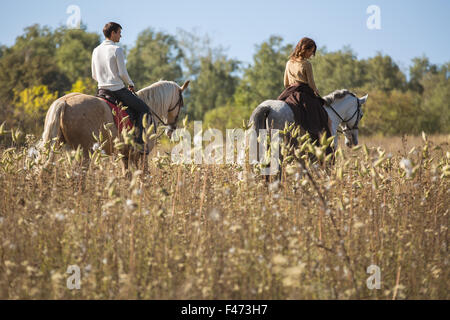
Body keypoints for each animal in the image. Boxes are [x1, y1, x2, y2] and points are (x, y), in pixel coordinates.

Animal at [39, 81, 191, 172]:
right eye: (181, 103)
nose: (171, 129)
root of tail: (64, 102)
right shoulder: (142, 155)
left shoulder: (125, 155)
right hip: (84, 152)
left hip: (57, 145)